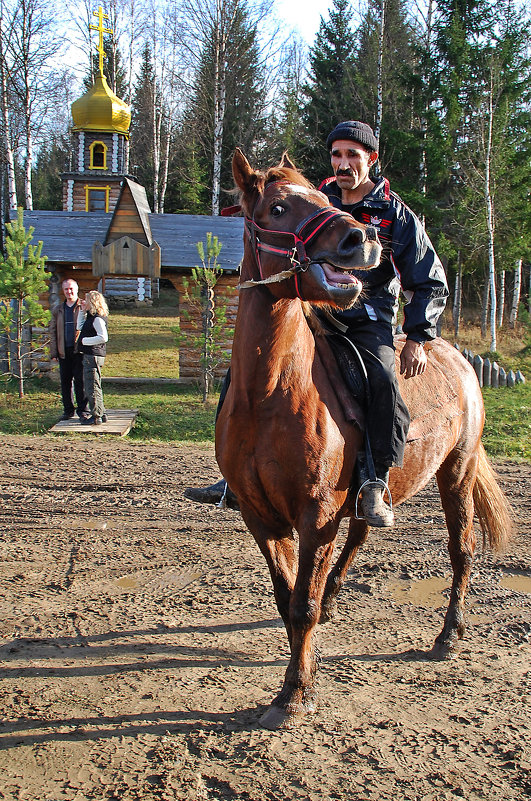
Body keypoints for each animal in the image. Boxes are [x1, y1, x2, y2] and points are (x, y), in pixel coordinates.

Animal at [214, 150, 512, 732]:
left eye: (323, 198)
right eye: (277, 207)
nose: (360, 239)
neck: (270, 393)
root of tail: (456, 356)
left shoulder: (315, 513)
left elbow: (301, 604)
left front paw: (295, 692)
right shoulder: (260, 516)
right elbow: (288, 596)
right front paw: (302, 665)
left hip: (456, 473)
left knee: (461, 551)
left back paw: (448, 635)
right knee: (360, 535)